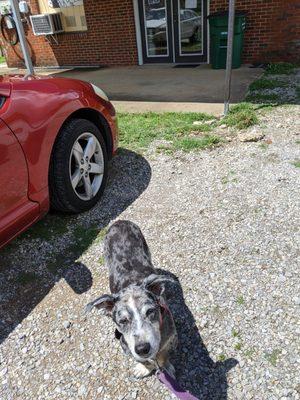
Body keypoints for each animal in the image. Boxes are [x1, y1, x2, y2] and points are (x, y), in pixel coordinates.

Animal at [85, 219, 177, 378]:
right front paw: (144, 368)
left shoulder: (170, 337)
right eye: (122, 321)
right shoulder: (127, 347)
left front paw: (167, 367)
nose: (143, 348)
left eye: (150, 312)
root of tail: (119, 221)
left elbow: (163, 354)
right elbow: (143, 360)